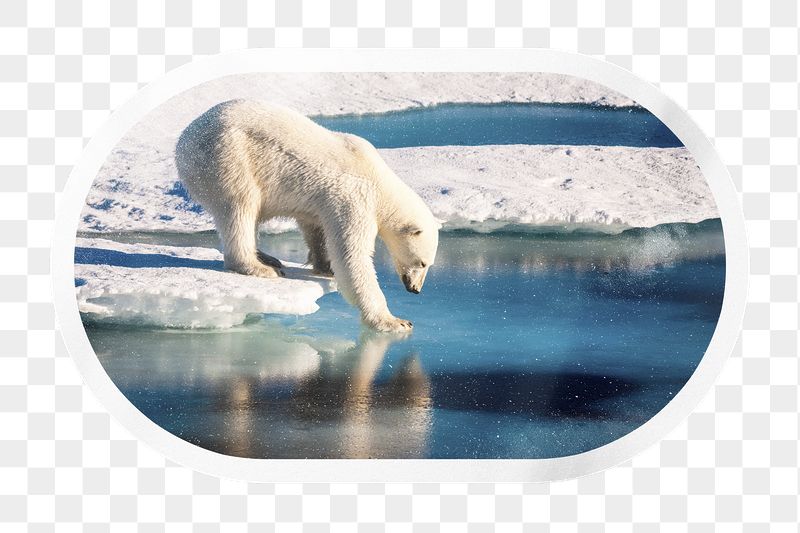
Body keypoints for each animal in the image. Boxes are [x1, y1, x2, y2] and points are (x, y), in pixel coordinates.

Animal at [175, 100, 439, 333]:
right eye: (422, 263)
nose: (415, 289)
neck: (379, 181)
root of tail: (183, 142)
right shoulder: (354, 198)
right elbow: (352, 256)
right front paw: (395, 321)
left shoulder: (323, 201)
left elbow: (316, 227)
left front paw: (325, 266)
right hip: (227, 157)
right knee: (240, 206)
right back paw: (259, 267)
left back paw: (267, 257)